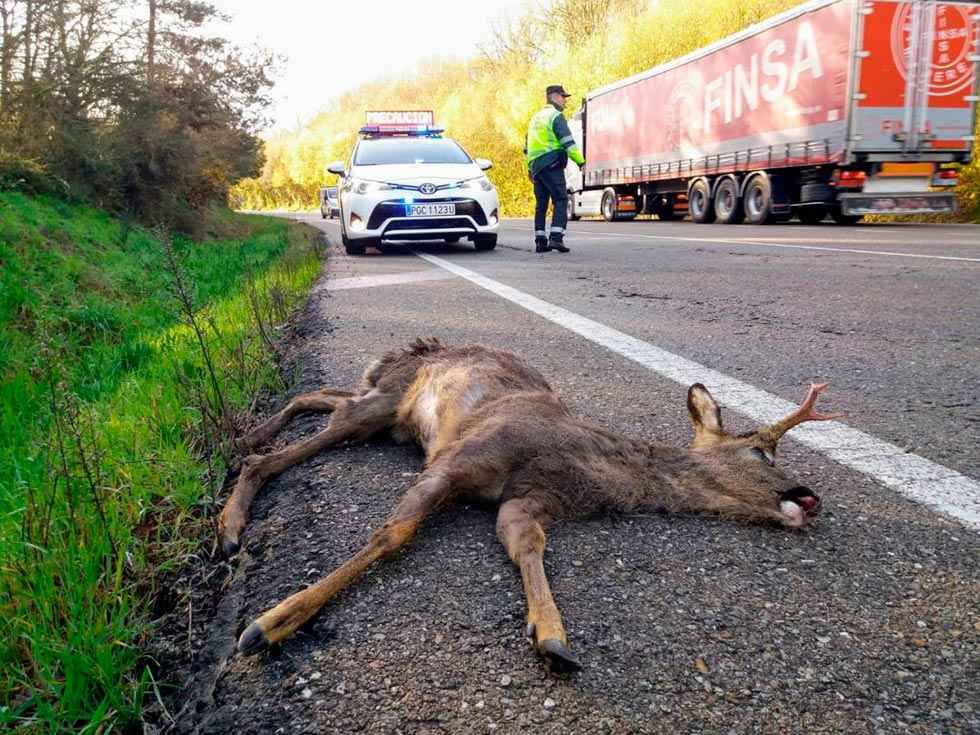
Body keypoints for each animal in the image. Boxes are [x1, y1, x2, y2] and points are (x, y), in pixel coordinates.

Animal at [222, 340, 844, 672]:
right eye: (762, 450)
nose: (809, 497)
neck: (578, 460)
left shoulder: (529, 502)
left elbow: (525, 542)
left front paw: (551, 634)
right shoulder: (460, 457)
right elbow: (392, 534)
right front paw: (270, 623)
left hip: (386, 413)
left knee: (323, 396)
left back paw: (250, 443)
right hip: (387, 403)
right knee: (301, 435)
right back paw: (234, 508)